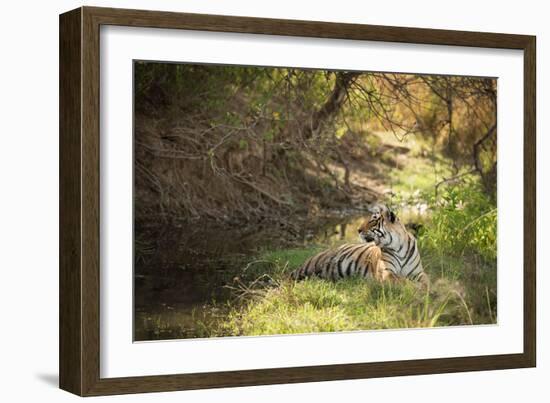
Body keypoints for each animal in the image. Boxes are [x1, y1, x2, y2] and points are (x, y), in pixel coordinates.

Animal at [294, 205, 432, 284]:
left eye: (372, 221)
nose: (358, 230)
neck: (398, 247)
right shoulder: (387, 272)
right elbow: (403, 280)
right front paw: (415, 288)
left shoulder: (418, 273)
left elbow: (427, 282)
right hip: (311, 266)